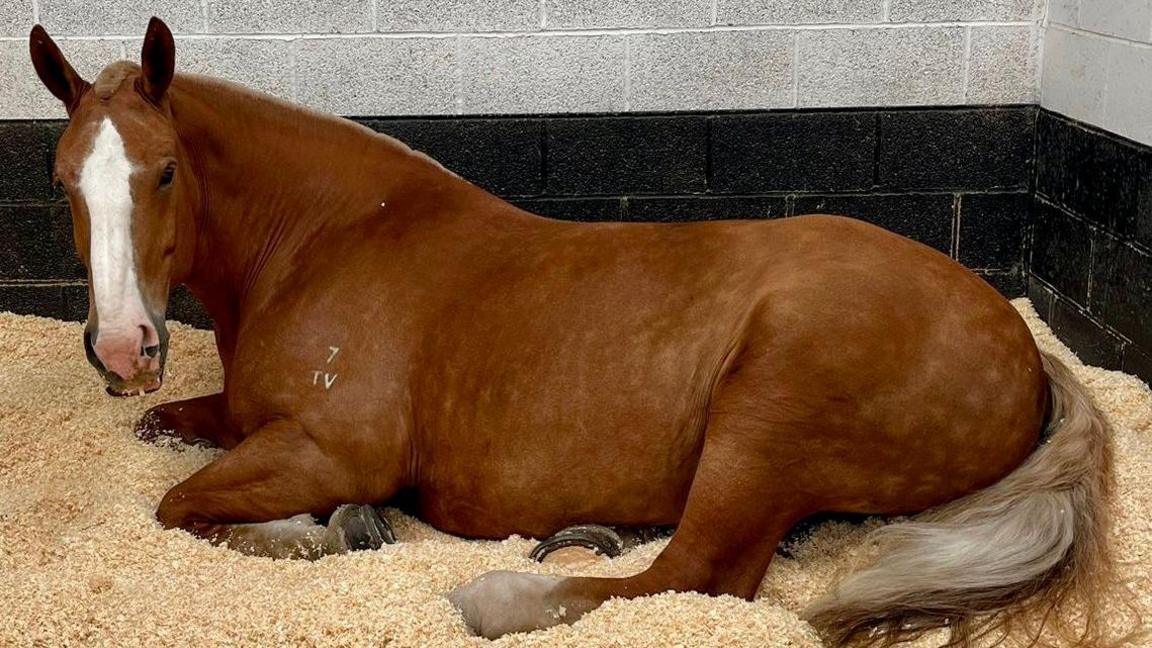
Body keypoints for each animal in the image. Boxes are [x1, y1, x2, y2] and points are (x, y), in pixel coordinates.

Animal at [29, 17, 1118, 646]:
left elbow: (179, 504)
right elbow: (169, 433)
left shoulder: (334, 448)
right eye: (62, 179)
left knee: (694, 577)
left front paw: (314, 534)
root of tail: (1023, 351)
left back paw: (498, 595)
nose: (124, 348)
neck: (325, 241)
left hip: (764, 419)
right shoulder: (240, 415)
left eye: (165, 172)